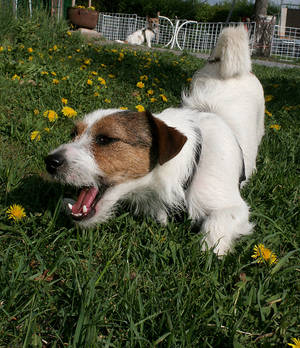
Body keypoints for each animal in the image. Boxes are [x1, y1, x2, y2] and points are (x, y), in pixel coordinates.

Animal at [45, 25, 264, 256]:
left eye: (105, 139)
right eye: (73, 134)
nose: (50, 161)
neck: (190, 166)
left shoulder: (235, 208)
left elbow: (216, 224)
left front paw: (210, 250)